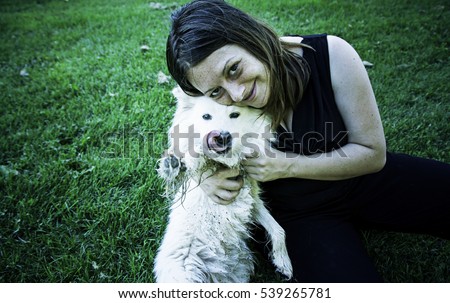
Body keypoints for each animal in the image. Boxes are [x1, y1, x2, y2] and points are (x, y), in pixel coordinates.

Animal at [153, 86, 294, 284]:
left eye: (234, 114)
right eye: (206, 116)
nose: (222, 137)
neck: (226, 163)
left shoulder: (254, 203)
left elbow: (279, 230)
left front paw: (283, 262)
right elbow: (193, 159)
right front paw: (172, 163)